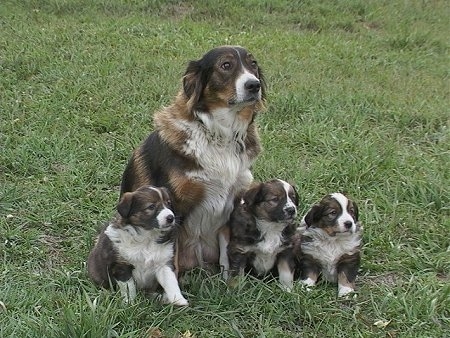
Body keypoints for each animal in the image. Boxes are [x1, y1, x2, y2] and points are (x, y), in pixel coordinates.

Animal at [120, 45, 268, 272]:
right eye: (226, 65)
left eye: (253, 64)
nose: (254, 85)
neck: (219, 134)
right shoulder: (173, 208)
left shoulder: (232, 204)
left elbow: (227, 255)